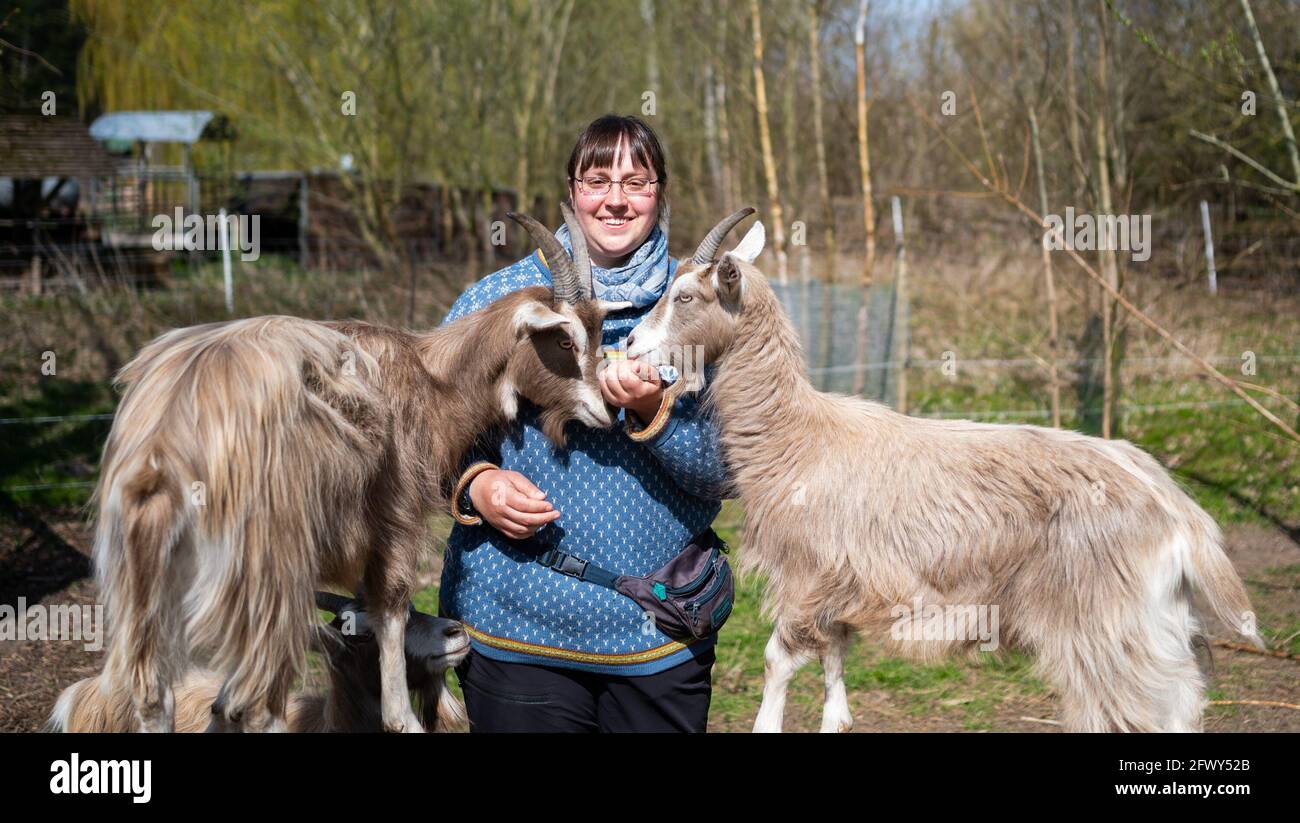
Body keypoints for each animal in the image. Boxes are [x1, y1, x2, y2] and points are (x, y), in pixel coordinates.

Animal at [624, 206, 1263, 733]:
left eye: (686, 297)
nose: (630, 346)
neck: (799, 437)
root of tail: (1181, 516)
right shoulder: (842, 581)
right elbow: (834, 667)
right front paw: (838, 718)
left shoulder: (805, 575)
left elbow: (778, 659)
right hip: (1160, 626)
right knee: (1183, 700)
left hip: (1105, 627)